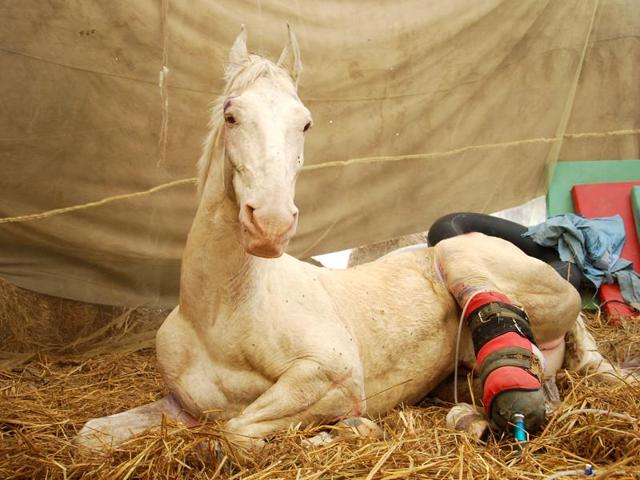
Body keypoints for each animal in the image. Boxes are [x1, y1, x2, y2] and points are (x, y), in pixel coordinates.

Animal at [76, 26, 631, 450]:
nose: (270, 223)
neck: (221, 313)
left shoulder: (332, 379)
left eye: (304, 123)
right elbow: (90, 436)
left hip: (461, 254)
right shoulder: (179, 406)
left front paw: (348, 431)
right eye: (232, 115)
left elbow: (235, 432)